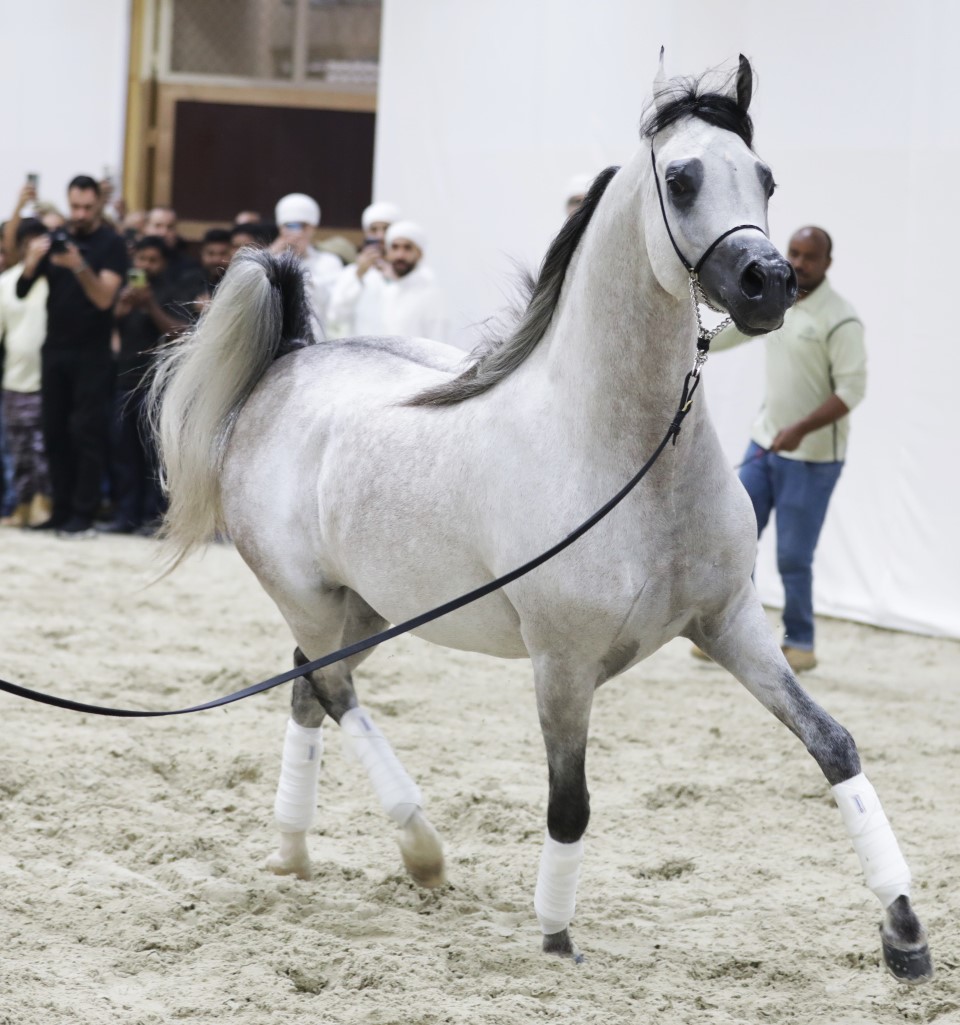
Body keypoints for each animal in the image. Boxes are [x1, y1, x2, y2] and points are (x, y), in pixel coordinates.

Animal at [149, 58, 930, 984]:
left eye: (766, 178)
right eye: (682, 178)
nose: (769, 282)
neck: (631, 458)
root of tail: (291, 361)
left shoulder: (730, 624)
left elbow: (834, 744)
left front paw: (905, 932)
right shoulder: (563, 662)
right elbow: (569, 800)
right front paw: (556, 934)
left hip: (368, 611)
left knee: (309, 685)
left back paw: (295, 850)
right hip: (309, 598)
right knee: (333, 690)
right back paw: (421, 849)